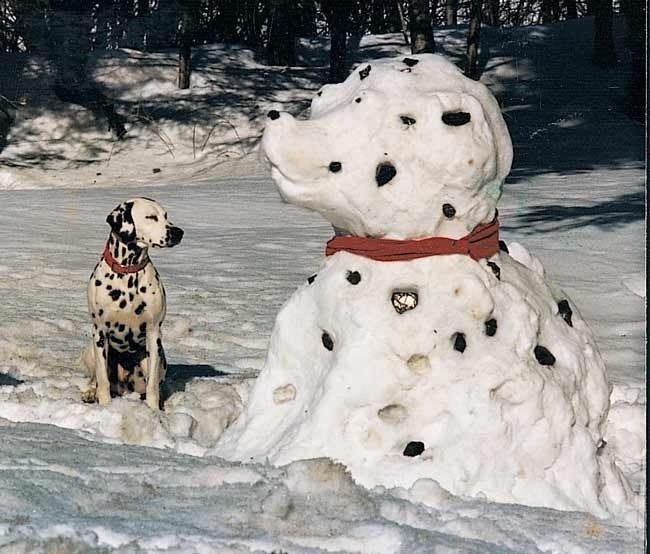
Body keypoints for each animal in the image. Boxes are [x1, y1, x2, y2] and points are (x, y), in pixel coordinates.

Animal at [81, 196, 182, 408]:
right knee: (96, 379)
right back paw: (91, 393)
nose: (179, 232)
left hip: (160, 358)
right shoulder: (100, 332)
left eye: (165, 215)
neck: (128, 273)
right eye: (151, 217)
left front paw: (153, 410)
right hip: (90, 350)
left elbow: (152, 386)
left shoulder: (153, 334)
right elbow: (102, 380)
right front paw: (105, 406)